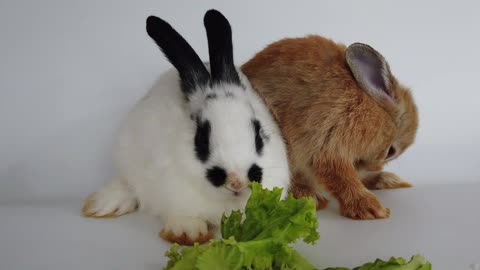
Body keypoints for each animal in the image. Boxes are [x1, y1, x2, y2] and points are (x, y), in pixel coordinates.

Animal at [82, 9, 288, 246]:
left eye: (258, 135)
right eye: (201, 139)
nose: (237, 182)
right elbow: (183, 216)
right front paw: (187, 233)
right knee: (129, 186)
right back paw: (101, 205)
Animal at [242, 35, 418, 219]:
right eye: (390, 151)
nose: (377, 167)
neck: (376, 109)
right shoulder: (330, 139)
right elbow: (342, 178)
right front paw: (371, 209)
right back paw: (311, 197)